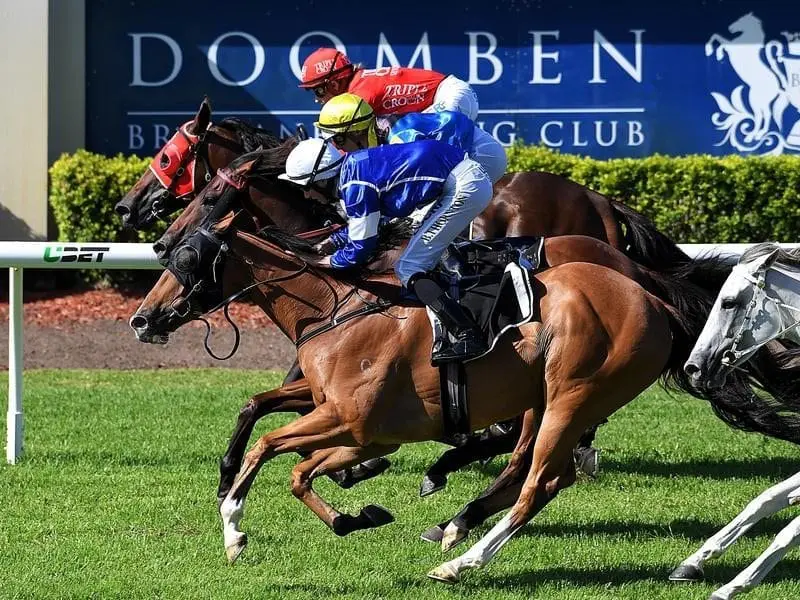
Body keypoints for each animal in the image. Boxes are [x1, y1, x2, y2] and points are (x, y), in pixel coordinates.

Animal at [131, 151, 708, 580]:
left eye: (188, 255)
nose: (142, 318)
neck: (338, 305)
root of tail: (650, 296)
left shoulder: (349, 419)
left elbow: (271, 445)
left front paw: (234, 526)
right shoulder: (349, 421)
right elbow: (278, 438)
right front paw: (354, 512)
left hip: (568, 395)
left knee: (537, 476)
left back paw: (461, 554)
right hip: (548, 398)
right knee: (538, 466)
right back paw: (457, 518)